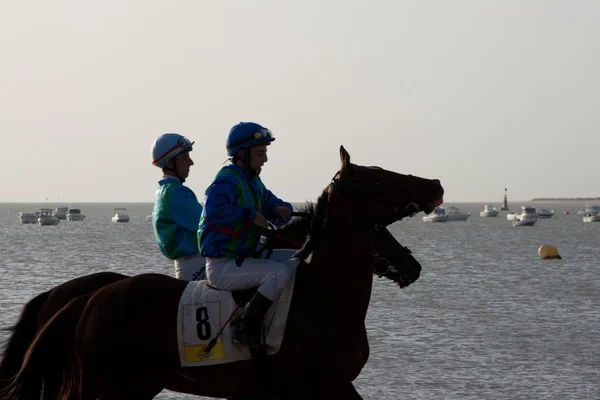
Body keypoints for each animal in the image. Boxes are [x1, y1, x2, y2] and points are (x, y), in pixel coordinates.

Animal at [1, 147, 440, 400]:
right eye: (377, 178)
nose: (435, 184)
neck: (323, 301)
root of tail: (85, 300)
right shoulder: (309, 388)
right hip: (116, 387)